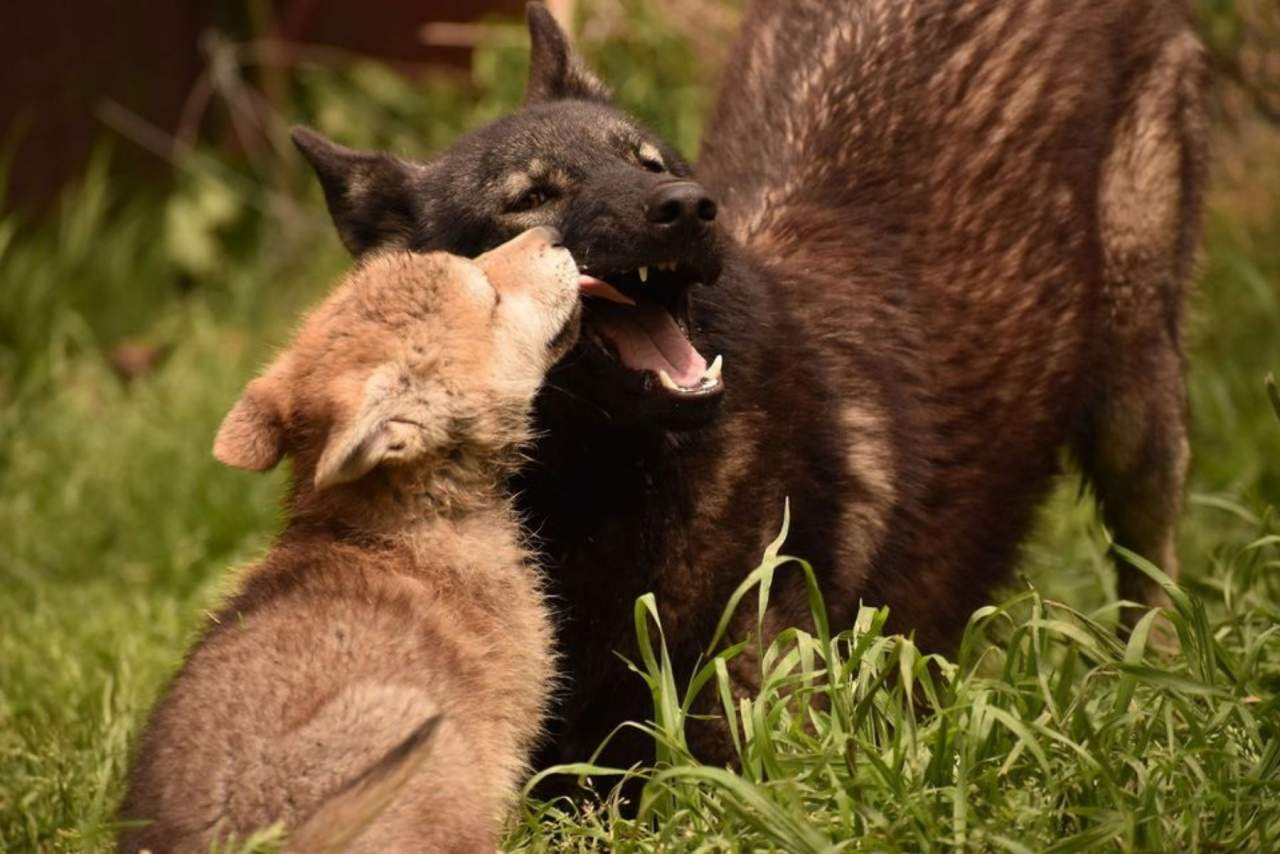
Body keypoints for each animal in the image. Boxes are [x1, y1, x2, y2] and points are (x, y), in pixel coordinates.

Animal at [292, 0, 1207, 770]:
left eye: (646, 161)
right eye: (532, 196)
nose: (689, 207)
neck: (603, 484)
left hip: (1134, 398)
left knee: (1150, 565)